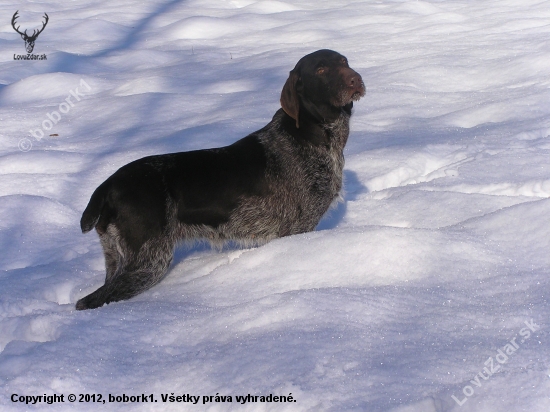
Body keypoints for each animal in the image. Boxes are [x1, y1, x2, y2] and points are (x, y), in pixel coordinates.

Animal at [74, 49, 366, 308]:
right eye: (321, 70)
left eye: (344, 61)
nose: (355, 79)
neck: (313, 133)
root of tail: (107, 186)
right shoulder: (298, 226)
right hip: (148, 262)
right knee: (90, 300)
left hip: (118, 257)